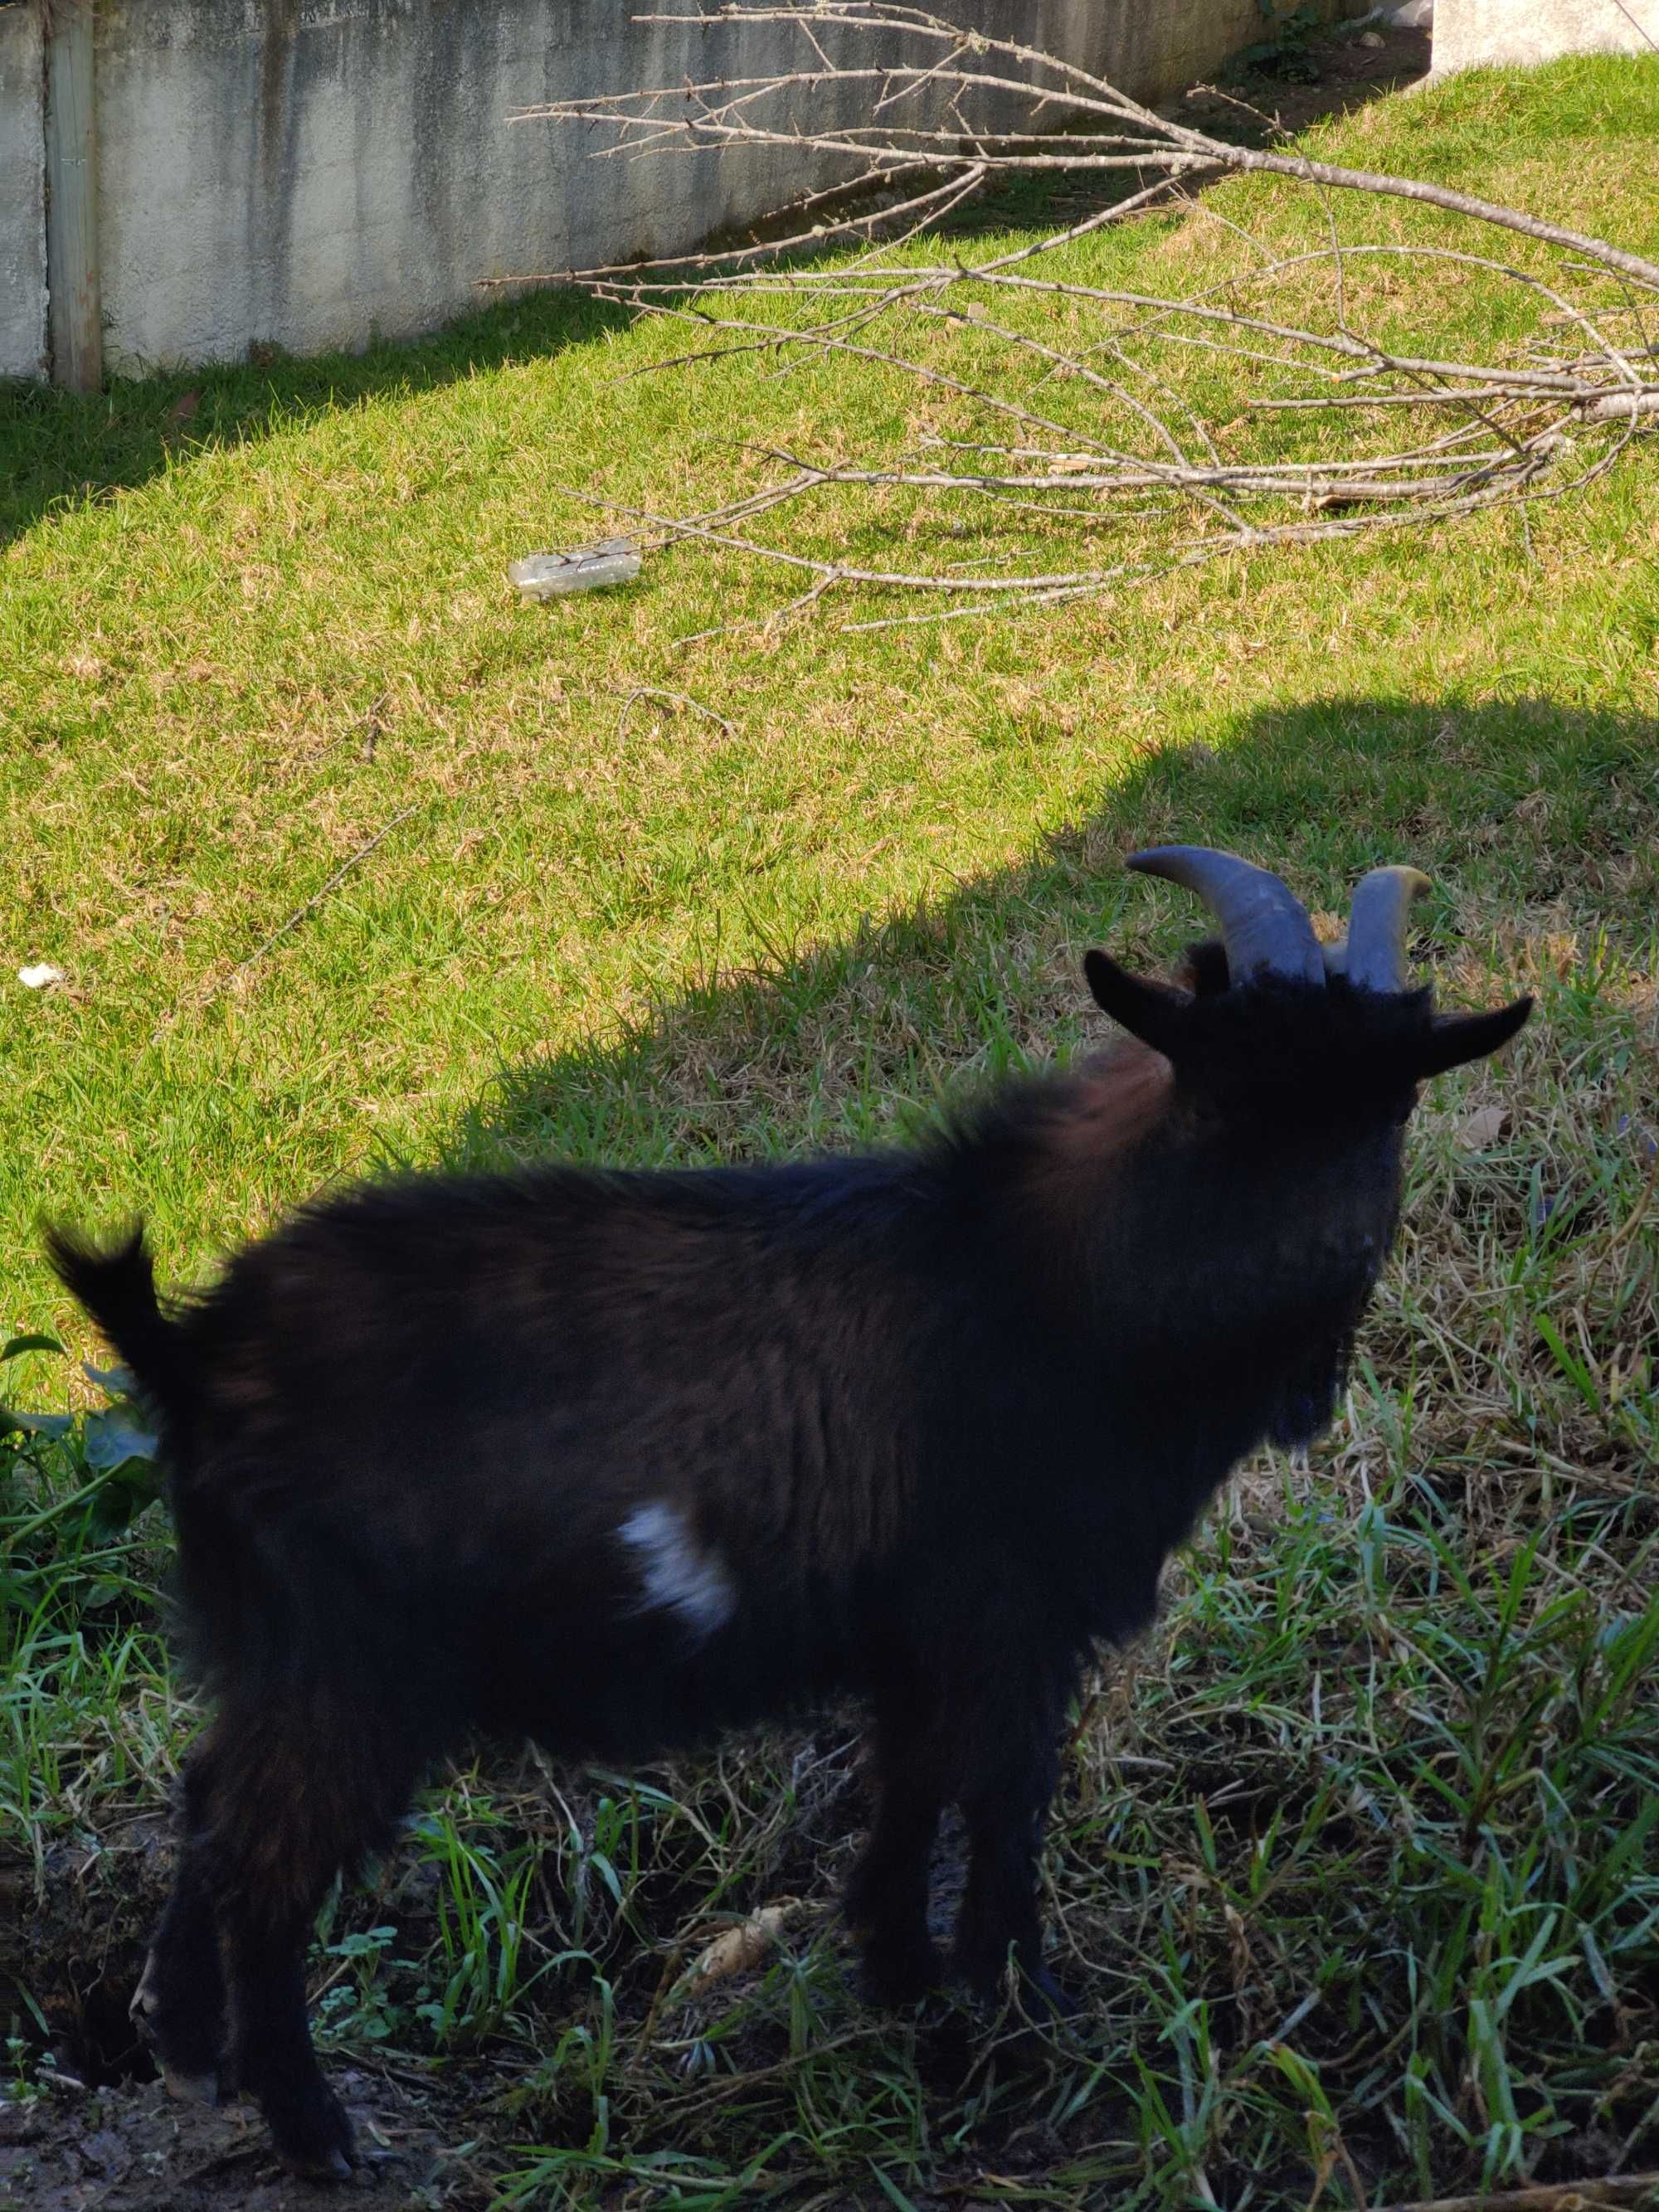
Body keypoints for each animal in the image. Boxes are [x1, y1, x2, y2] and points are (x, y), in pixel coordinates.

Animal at [48, 844, 1530, 2176]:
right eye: (1223, 1093)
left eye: (1391, 1109)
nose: (1311, 1322)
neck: (1041, 1279)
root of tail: (194, 1353)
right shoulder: (1009, 1618)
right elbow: (1005, 1797)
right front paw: (1021, 2015)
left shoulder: (921, 1631)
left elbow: (912, 1786)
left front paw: (902, 1979)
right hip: (354, 1667)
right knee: (264, 1866)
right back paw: (320, 2135)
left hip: (275, 1652)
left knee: (208, 1798)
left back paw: (185, 2046)